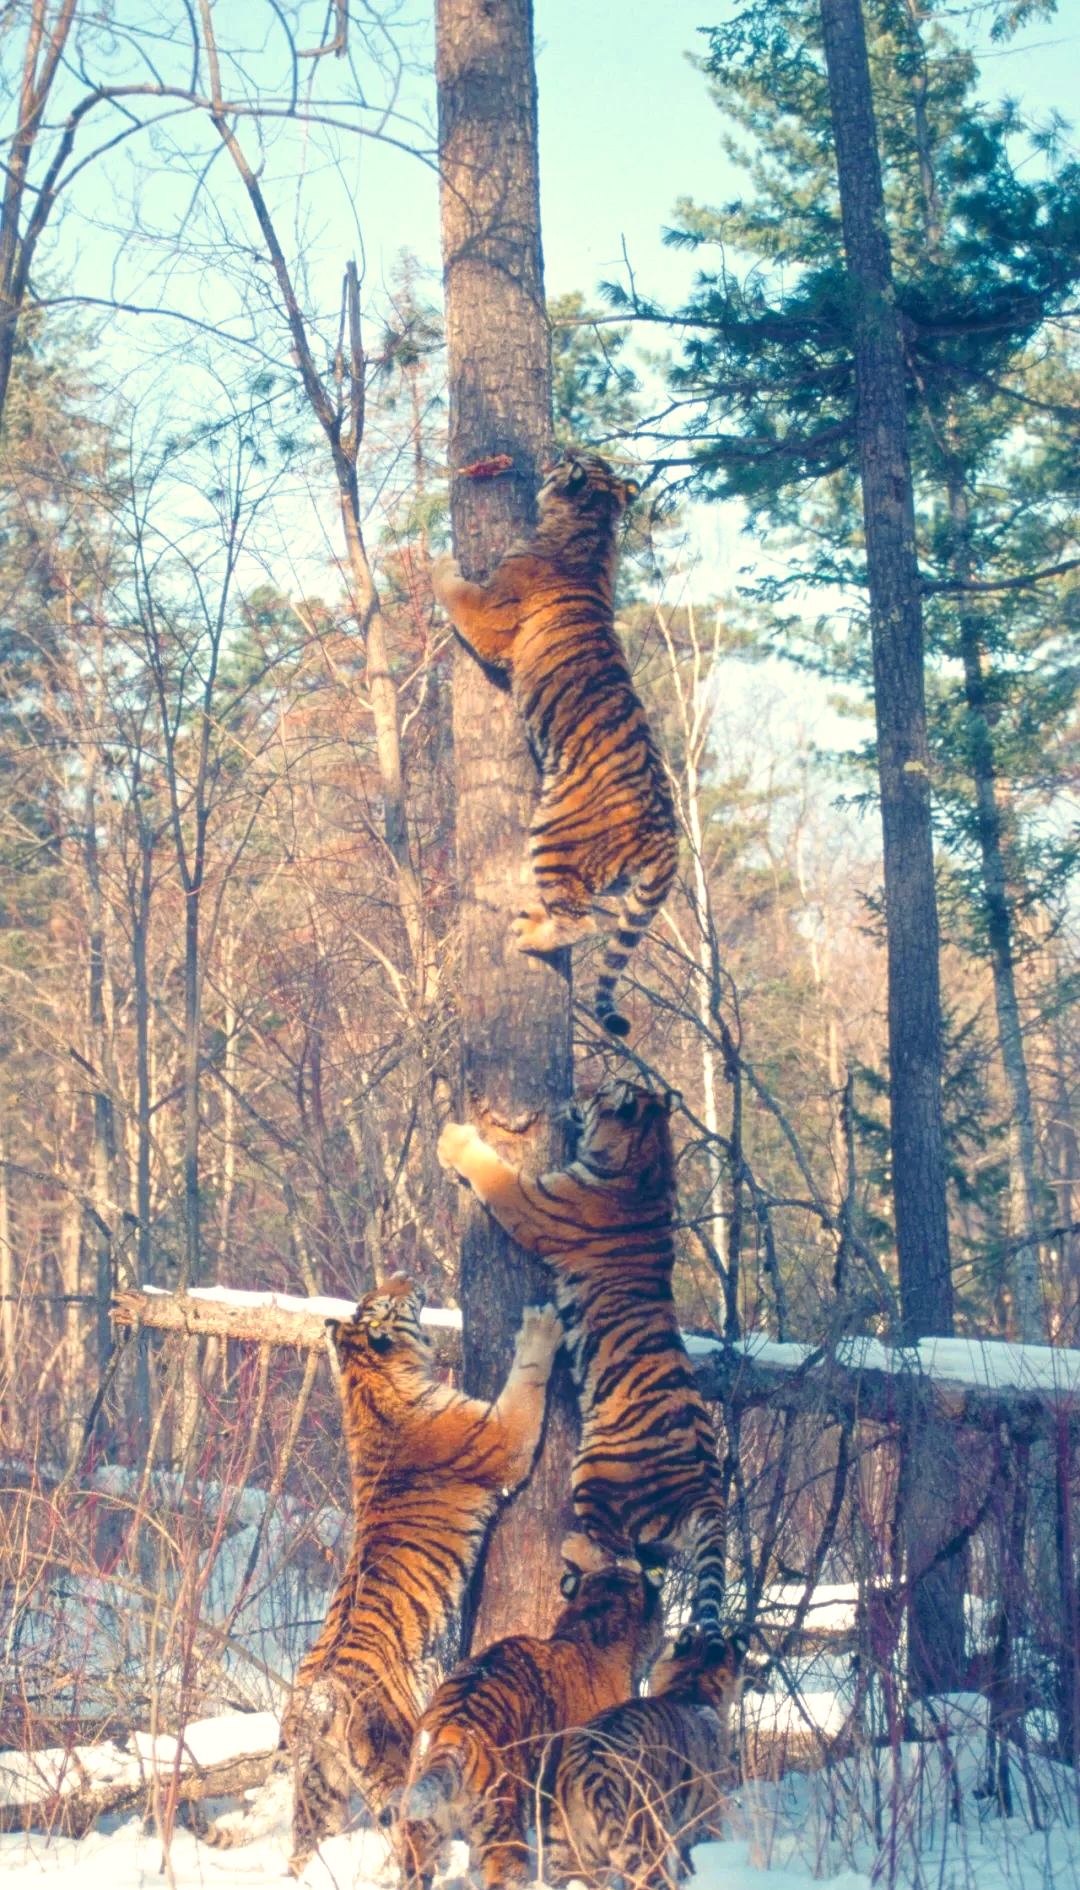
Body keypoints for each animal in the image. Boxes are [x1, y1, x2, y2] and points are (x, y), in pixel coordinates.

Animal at [200, 1270, 567, 1874]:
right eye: (384, 1301)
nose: (407, 1276)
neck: (368, 1381)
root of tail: (309, 1701)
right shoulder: (506, 1437)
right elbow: (528, 1376)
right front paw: (542, 1323)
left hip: (321, 1791)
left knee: (305, 1854)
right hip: (394, 1766)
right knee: (407, 1837)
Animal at [429, 449, 677, 1035]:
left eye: (576, 458)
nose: (556, 452)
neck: (594, 522)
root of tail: (670, 840)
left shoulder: (491, 618)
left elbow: (456, 589)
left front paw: (437, 558)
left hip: (555, 835)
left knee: (582, 923)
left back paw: (529, 932)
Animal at [435, 1088, 730, 1632]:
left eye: (602, 1093)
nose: (577, 1094)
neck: (649, 1166)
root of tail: (711, 1496)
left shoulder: (534, 1202)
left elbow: (495, 1173)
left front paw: (454, 1139)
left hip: (597, 1470)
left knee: (624, 1559)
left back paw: (573, 1546)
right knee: (647, 1570)